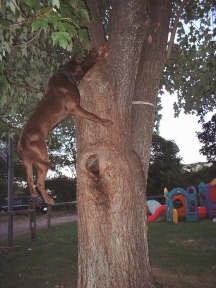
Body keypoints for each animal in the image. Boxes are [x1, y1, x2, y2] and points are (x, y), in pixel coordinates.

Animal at [17, 46, 111, 205]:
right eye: (90, 52)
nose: (104, 46)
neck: (65, 74)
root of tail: (21, 143)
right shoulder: (74, 107)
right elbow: (92, 115)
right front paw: (105, 122)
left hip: (28, 162)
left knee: (30, 181)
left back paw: (39, 197)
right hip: (42, 158)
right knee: (39, 183)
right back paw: (49, 200)